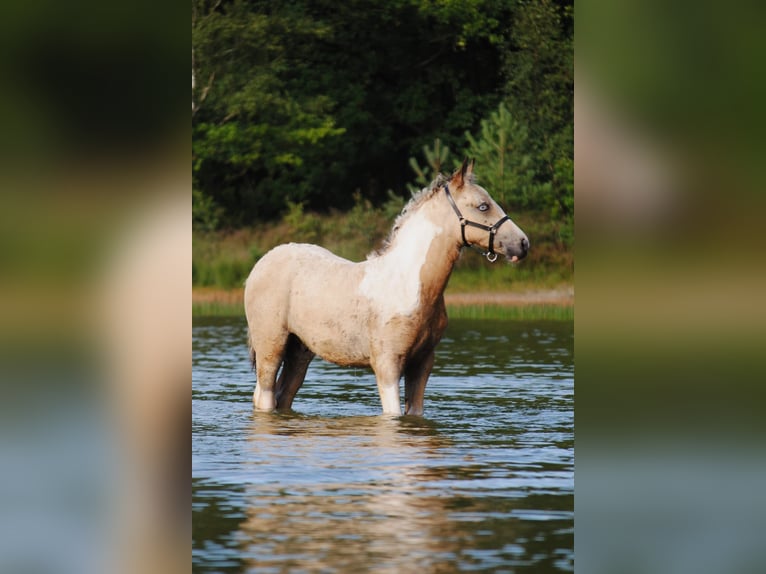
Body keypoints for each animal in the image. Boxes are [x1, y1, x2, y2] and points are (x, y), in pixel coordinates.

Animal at [244, 159, 529, 416]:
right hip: (271, 346)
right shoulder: (387, 365)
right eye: (483, 206)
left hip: (299, 352)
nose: (523, 244)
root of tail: (261, 264)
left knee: (281, 396)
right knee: (265, 396)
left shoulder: (423, 363)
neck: (411, 286)